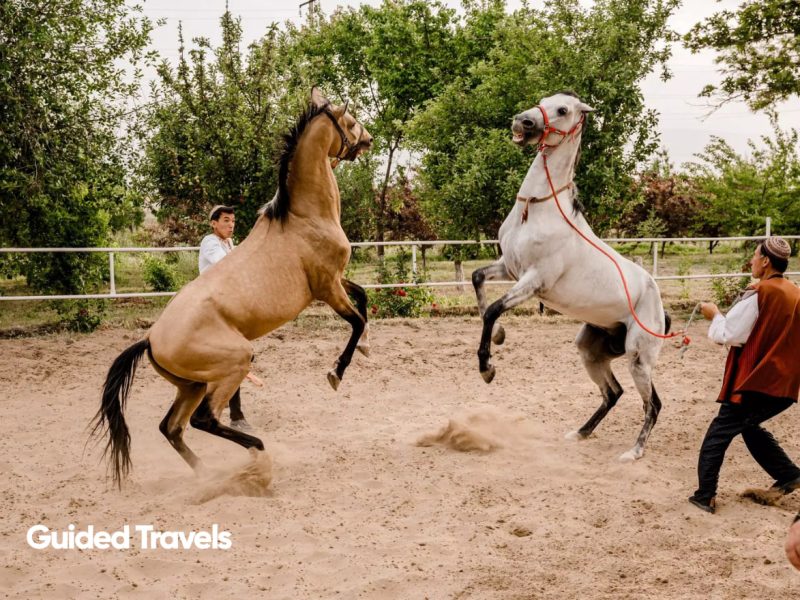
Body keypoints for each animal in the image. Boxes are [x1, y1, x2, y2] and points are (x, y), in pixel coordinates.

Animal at [92, 88, 374, 486]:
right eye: (349, 121)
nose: (368, 140)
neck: (303, 218)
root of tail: (150, 339)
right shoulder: (326, 287)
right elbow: (356, 320)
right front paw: (337, 372)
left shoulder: (335, 280)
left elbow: (363, 298)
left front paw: (366, 348)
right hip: (234, 361)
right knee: (203, 420)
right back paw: (256, 451)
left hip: (192, 385)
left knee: (172, 427)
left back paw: (208, 475)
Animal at [471, 91, 672, 462]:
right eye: (543, 100)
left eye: (563, 110)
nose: (522, 121)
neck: (536, 209)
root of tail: (659, 304)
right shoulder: (509, 266)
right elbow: (478, 279)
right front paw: (501, 336)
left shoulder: (534, 281)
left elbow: (492, 309)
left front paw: (487, 368)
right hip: (591, 351)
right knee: (613, 393)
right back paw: (580, 433)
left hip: (639, 359)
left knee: (652, 404)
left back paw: (633, 453)